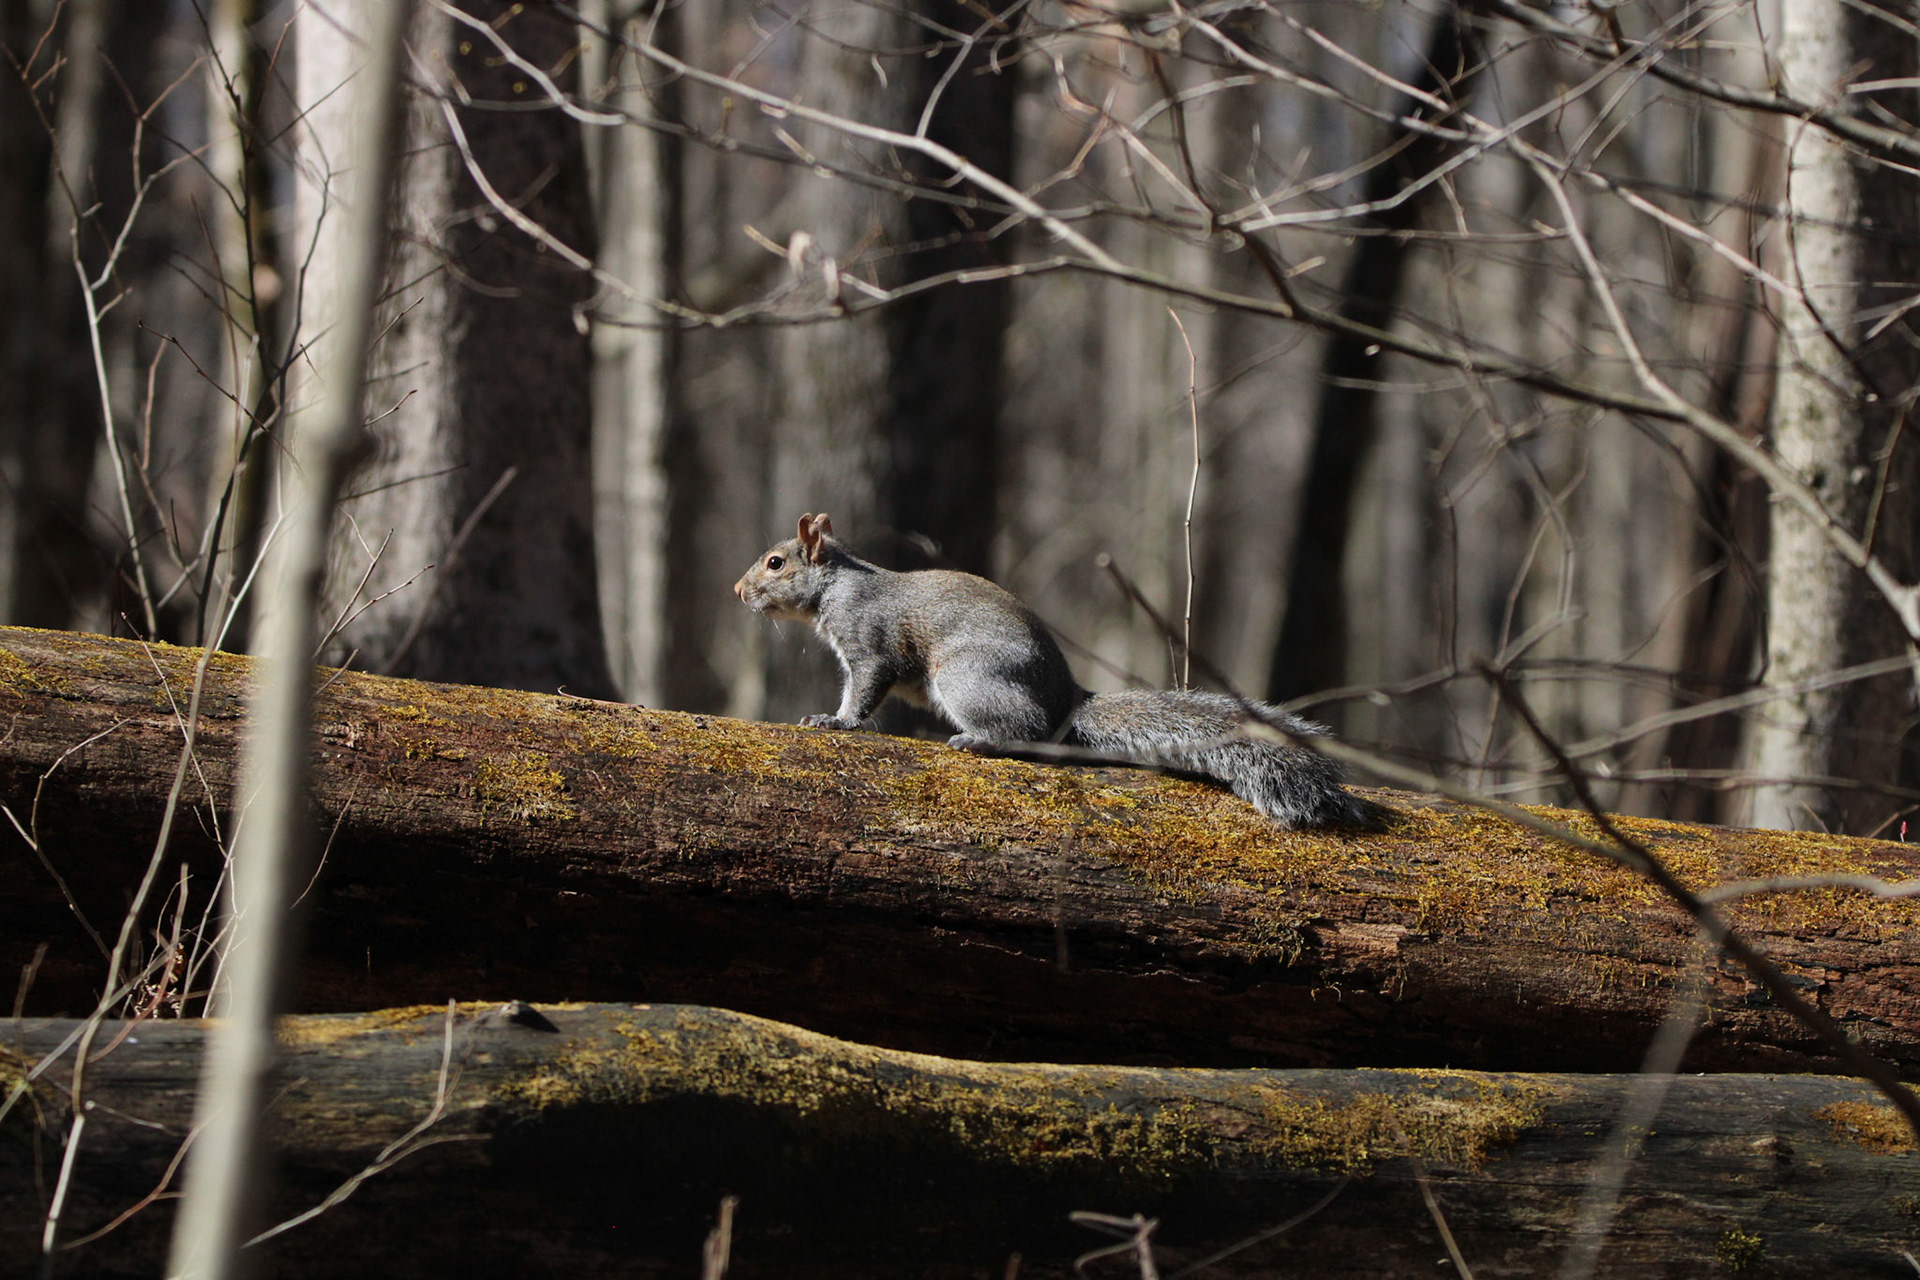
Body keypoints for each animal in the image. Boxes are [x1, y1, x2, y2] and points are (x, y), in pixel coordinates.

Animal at [734, 513, 1375, 829]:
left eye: (776, 562)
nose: (738, 591)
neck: (838, 584)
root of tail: (1068, 696)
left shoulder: (869, 644)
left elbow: (865, 690)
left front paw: (835, 721)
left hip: (967, 680)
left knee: (1031, 734)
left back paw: (978, 740)